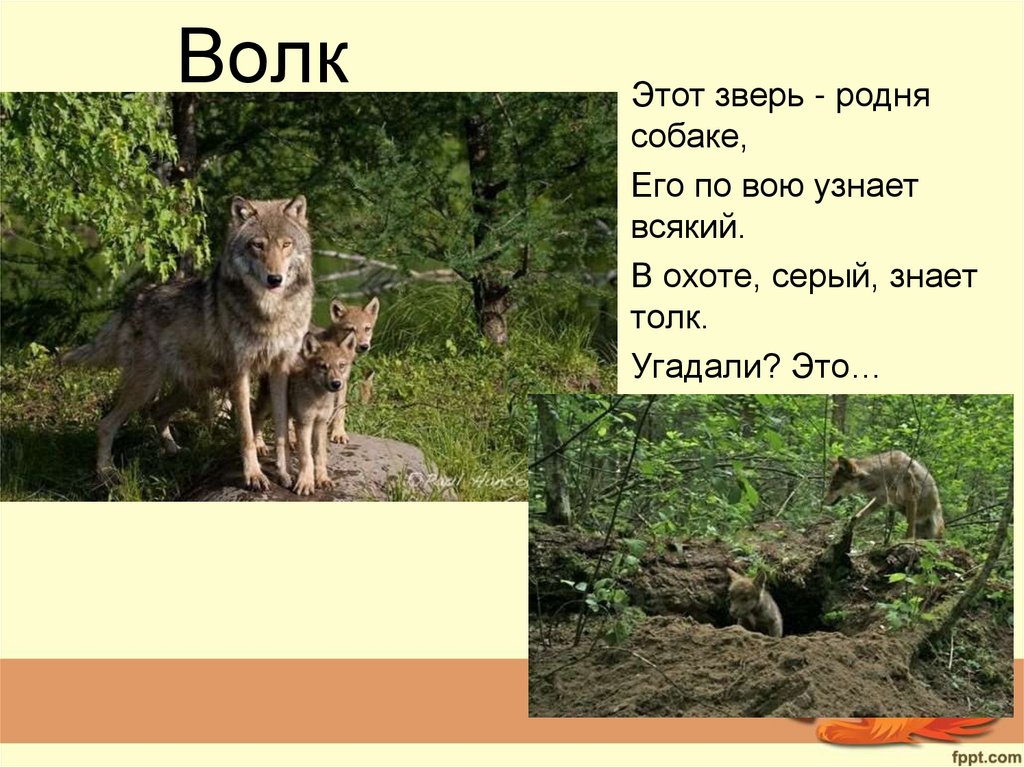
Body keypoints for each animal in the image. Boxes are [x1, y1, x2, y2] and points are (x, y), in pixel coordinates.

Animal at [62, 196, 314, 490]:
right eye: (258, 245)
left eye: (286, 244)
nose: (275, 279)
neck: (271, 311)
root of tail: (134, 299)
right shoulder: (239, 374)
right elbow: (246, 431)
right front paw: (253, 475)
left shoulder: (279, 370)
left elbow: (282, 428)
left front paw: (285, 474)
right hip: (146, 387)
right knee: (106, 425)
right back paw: (106, 473)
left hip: (191, 388)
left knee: (157, 411)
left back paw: (173, 450)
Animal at [286, 330, 357, 495]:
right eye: (323, 367)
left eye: (341, 365)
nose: (336, 383)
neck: (318, 398)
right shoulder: (305, 423)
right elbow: (307, 457)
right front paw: (306, 482)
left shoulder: (320, 423)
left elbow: (319, 455)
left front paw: (322, 479)